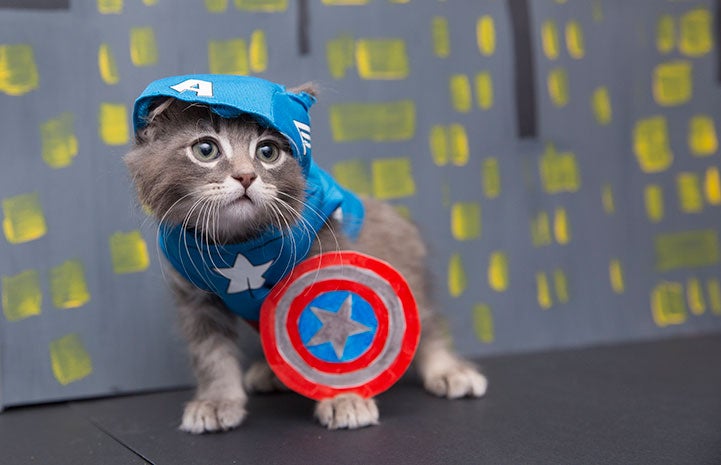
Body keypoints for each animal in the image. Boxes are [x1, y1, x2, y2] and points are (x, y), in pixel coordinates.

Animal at [124, 76, 486, 432]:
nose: (246, 175)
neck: (239, 243)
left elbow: (337, 344)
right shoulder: (195, 297)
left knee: (429, 324)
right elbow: (210, 354)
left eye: (267, 152)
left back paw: (449, 370)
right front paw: (217, 401)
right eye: (205, 149)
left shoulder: (332, 269)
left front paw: (343, 399)